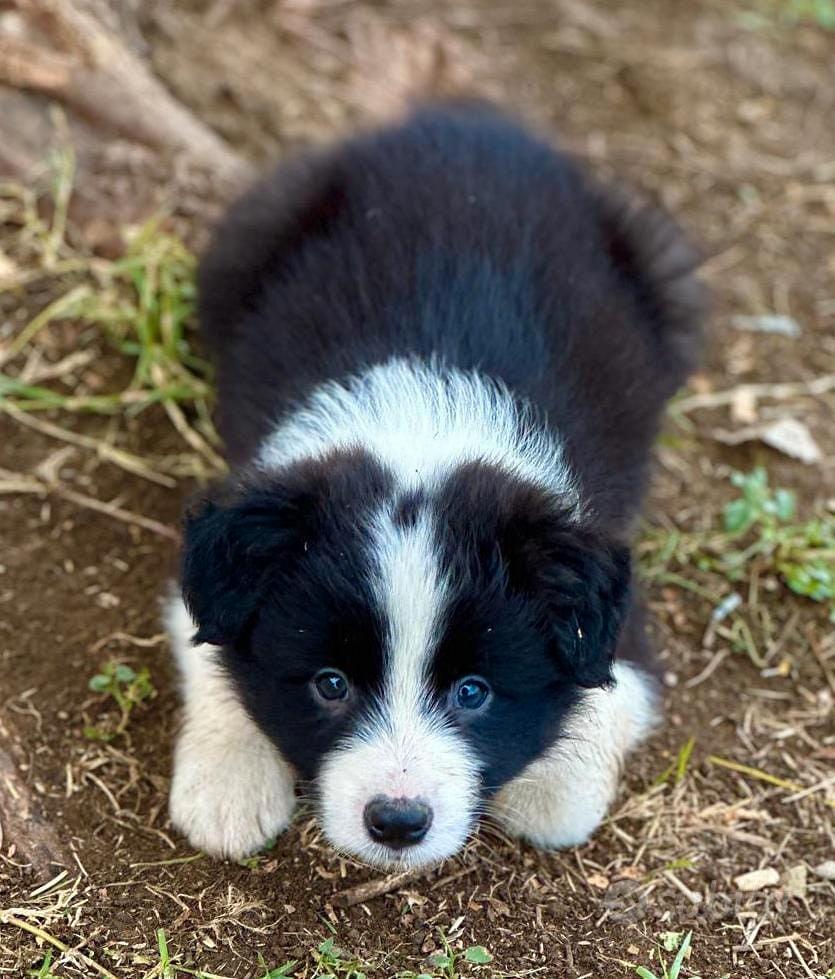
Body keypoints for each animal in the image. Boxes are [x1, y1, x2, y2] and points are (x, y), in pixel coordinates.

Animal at [167, 99, 704, 868]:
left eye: (472, 692)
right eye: (330, 684)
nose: (397, 822)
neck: (423, 431)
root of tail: (470, 119)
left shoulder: (618, 616)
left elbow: (583, 751)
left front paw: (552, 783)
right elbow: (208, 647)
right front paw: (227, 788)